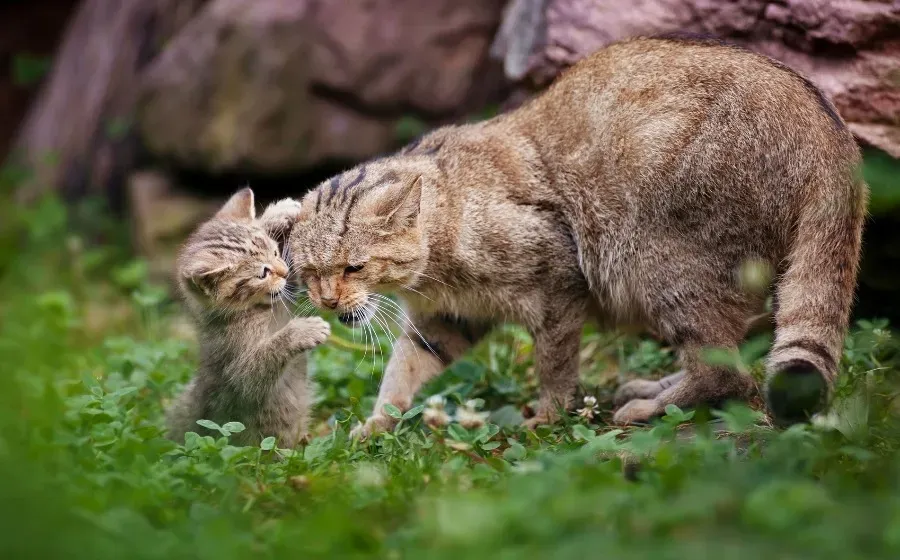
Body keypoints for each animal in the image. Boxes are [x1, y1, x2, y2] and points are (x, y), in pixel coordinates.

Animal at [165, 187, 330, 446]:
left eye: (275, 252)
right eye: (262, 273)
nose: (283, 271)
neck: (256, 310)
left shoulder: (286, 292)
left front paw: (277, 214)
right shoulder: (238, 373)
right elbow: (261, 363)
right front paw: (302, 331)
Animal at [286, 36, 864, 438]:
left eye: (354, 267)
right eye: (310, 273)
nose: (329, 302)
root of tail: (834, 137)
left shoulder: (558, 285)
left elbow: (555, 366)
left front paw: (547, 416)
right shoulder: (446, 320)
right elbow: (402, 372)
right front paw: (376, 424)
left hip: (663, 265)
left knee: (726, 372)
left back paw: (649, 406)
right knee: (734, 357)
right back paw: (654, 386)